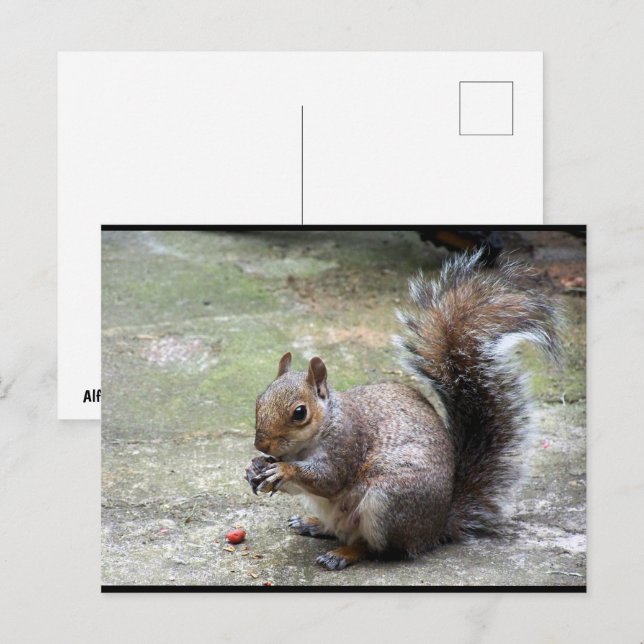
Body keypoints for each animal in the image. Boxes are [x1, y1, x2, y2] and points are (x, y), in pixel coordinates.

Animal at [245, 251, 562, 570]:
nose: (262, 444)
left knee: (376, 548)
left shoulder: (347, 442)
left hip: (387, 502)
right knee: (338, 529)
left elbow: (329, 479)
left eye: (300, 412)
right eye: (259, 400)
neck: (317, 433)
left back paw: (343, 553)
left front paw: (283, 469)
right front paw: (255, 468)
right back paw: (313, 524)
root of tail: (435, 529)